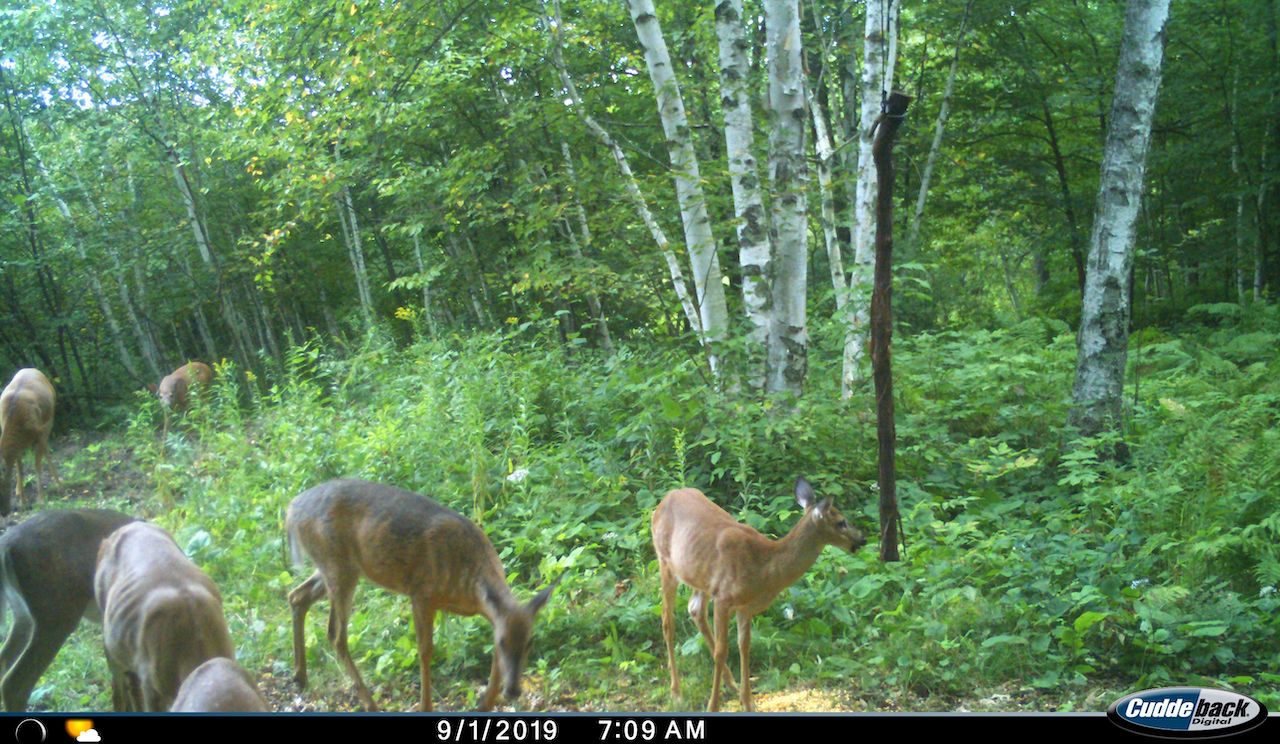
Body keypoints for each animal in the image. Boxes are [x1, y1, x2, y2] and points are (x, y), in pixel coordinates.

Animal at [0, 369, 61, 517]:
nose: (4, 512)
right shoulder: (16, 444)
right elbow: (19, 467)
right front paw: (23, 500)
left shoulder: (40, 431)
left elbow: (37, 464)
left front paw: (41, 499)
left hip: (50, 419)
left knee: (47, 453)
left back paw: (58, 483)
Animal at [286, 478, 558, 712]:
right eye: (503, 642)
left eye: (529, 642)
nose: (513, 690)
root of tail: (291, 509)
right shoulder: (421, 593)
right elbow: (426, 651)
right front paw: (426, 706)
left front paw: (486, 704)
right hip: (337, 565)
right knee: (335, 634)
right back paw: (370, 703)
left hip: (336, 566)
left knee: (297, 596)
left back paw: (300, 676)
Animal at [651, 476, 866, 712]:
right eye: (841, 522)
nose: (862, 539)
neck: (764, 567)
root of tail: (663, 501)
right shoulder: (723, 598)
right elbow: (721, 651)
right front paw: (713, 706)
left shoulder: (745, 606)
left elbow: (744, 646)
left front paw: (748, 702)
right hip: (665, 562)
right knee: (667, 622)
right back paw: (677, 693)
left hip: (699, 575)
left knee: (694, 609)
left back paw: (730, 682)